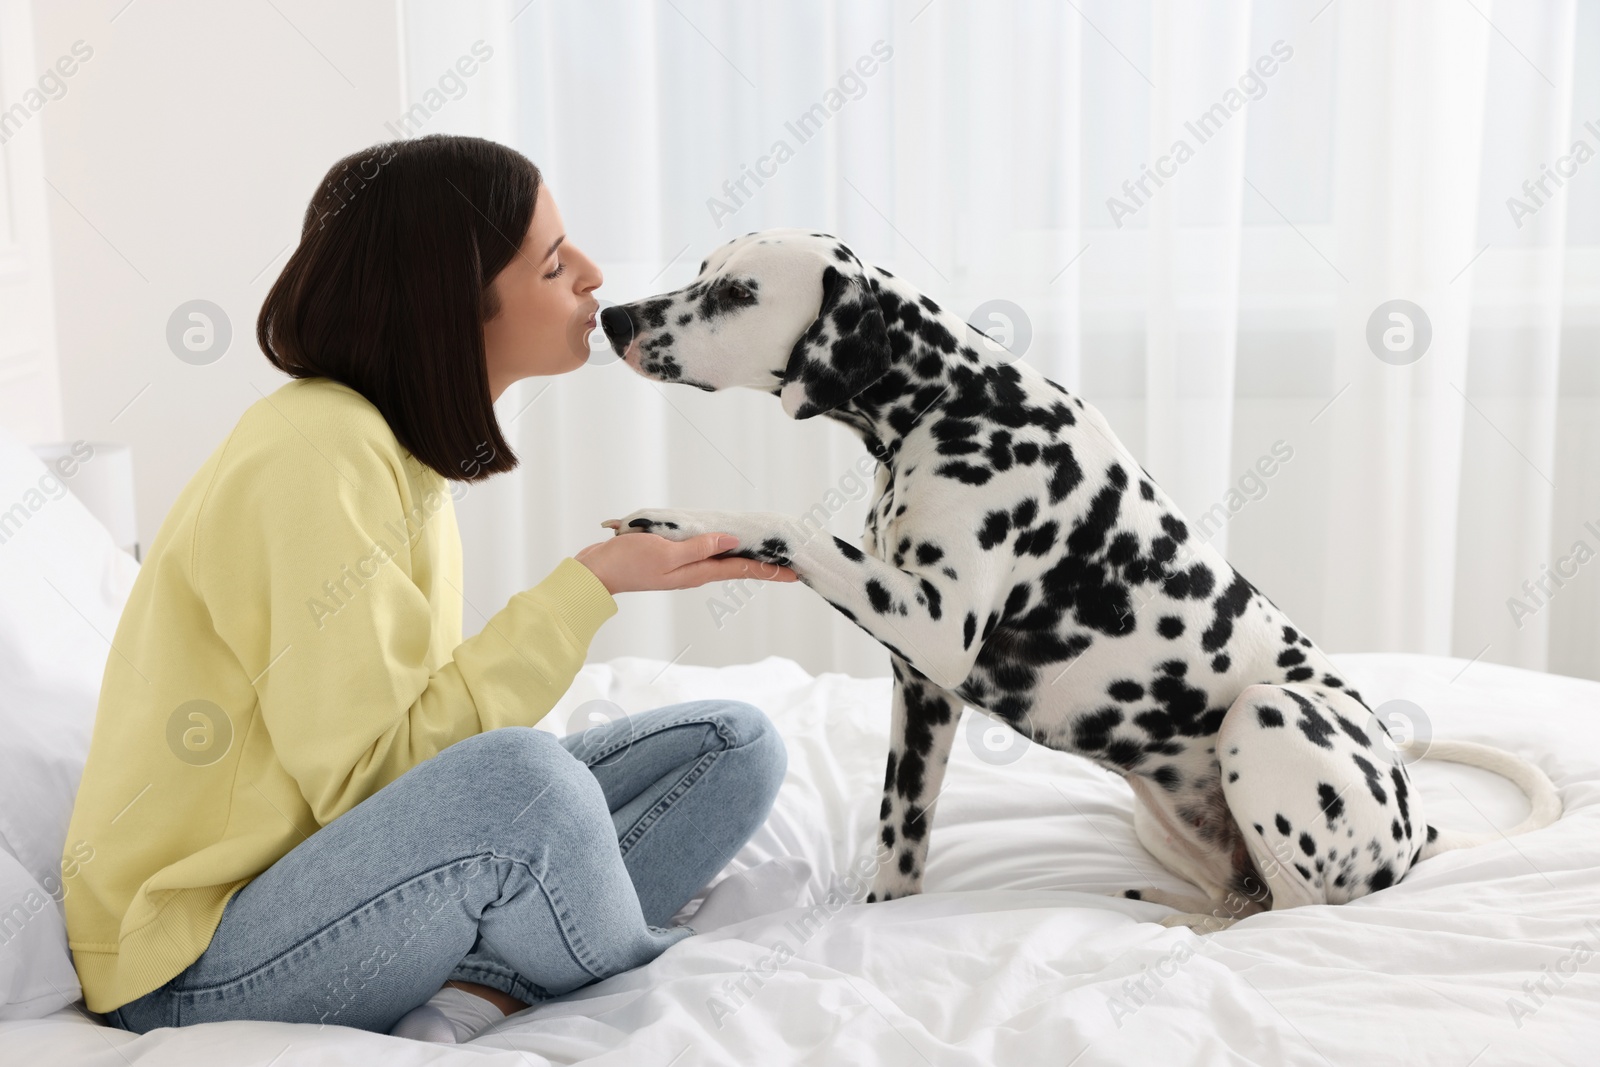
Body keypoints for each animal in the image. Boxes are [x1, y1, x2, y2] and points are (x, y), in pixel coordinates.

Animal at [595, 230, 1555, 927]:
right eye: (702, 271)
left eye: (737, 292)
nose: (613, 318)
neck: (952, 400)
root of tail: (1416, 827)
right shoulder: (921, 690)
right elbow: (901, 844)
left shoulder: (933, 625)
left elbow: (786, 522)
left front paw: (679, 519)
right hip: (1161, 812)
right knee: (1245, 901)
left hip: (1267, 713)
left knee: (1290, 910)